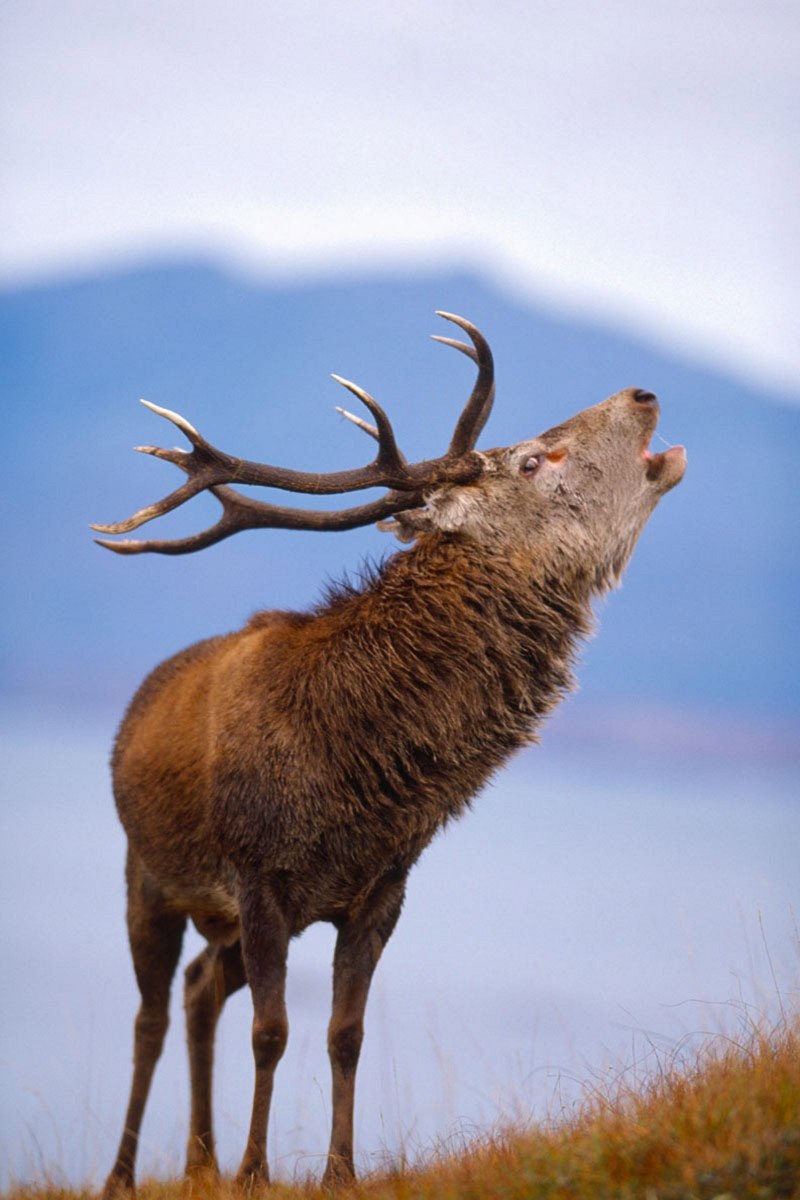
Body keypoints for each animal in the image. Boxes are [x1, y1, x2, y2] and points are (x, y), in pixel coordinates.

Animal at [92, 314, 681, 1195]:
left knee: (200, 992)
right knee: (151, 1016)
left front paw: (339, 1170)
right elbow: (272, 1032)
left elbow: (346, 1033)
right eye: (534, 459)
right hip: (149, 875)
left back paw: (200, 1161)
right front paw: (257, 1172)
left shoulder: (380, 890)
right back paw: (127, 1175)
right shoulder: (259, 877)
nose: (642, 393)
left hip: (224, 920)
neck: (356, 775)